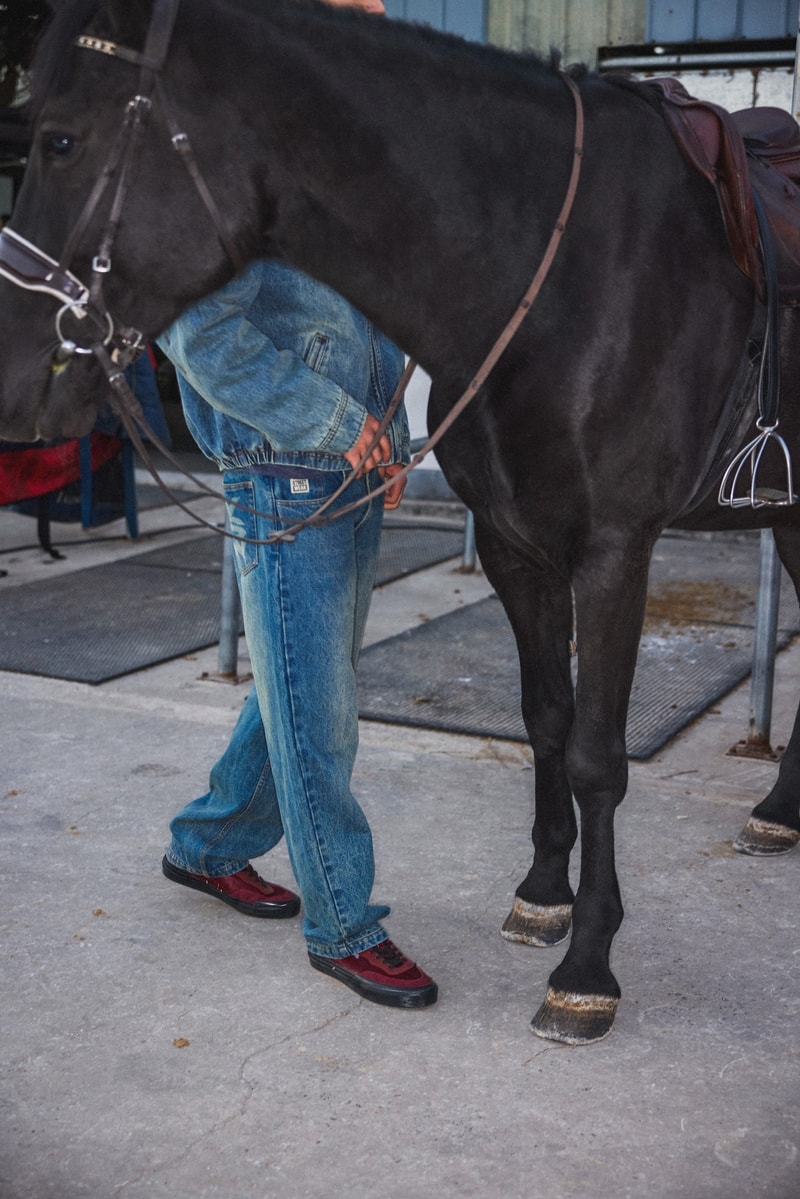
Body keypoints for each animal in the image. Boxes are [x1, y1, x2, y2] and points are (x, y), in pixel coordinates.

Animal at [2, 0, 800, 1045]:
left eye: (60, 140)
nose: (13, 385)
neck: (564, 276)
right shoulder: (513, 543)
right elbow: (545, 720)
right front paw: (544, 895)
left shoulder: (614, 551)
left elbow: (597, 755)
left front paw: (587, 968)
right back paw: (780, 811)